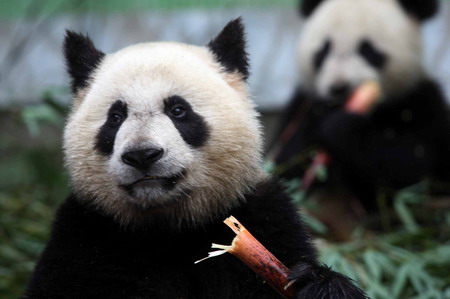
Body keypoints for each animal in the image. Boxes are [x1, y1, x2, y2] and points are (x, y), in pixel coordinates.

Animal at [22, 19, 370, 298]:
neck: (171, 226)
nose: (143, 155)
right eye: (116, 117)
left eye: (178, 110)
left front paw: (321, 286)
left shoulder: (263, 215)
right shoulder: (87, 235)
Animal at [272, 0, 450, 211]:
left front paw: (338, 127)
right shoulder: (300, 106)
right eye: (324, 50)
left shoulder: (420, 105)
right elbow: (286, 162)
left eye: (368, 50)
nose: (339, 88)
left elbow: (409, 165)